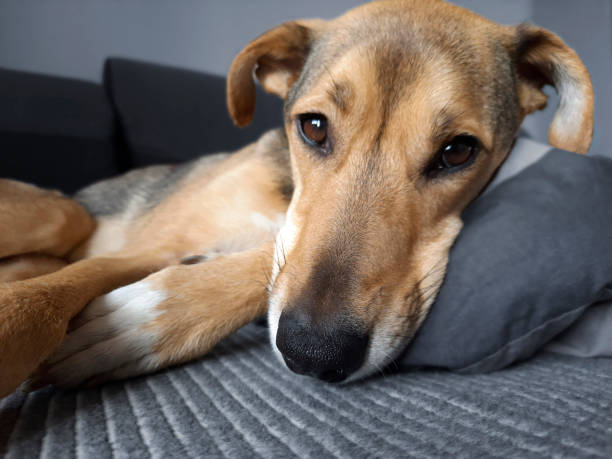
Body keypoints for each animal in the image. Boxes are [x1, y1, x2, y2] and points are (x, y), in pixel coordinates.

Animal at [0, 0, 592, 398]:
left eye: (457, 151)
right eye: (312, 127)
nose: (315, 354)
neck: (284, 196)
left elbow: (265, 257)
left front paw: (144, 319)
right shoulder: (146, 245)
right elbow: (45, 296)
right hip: (64, 212)